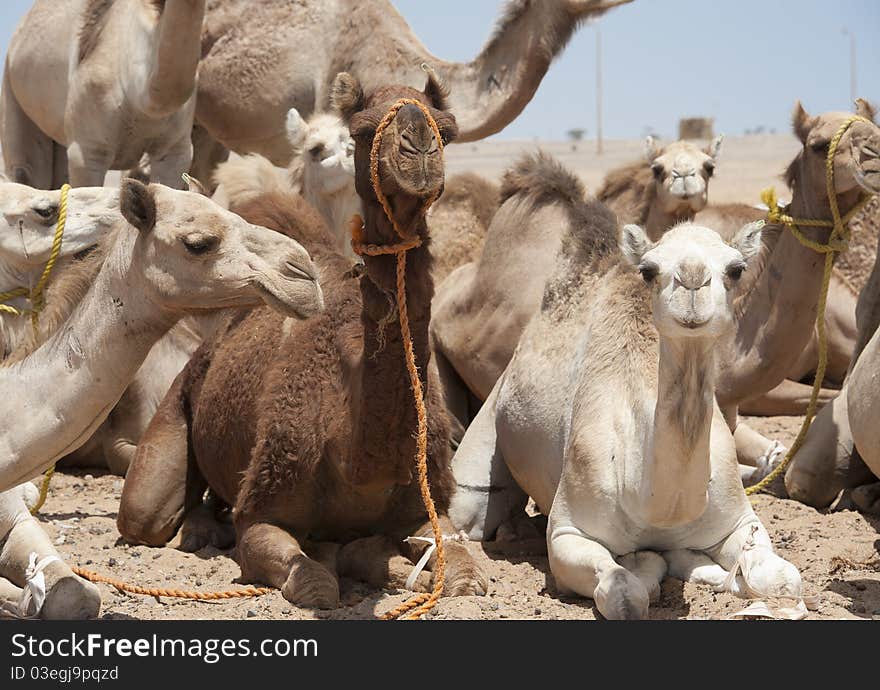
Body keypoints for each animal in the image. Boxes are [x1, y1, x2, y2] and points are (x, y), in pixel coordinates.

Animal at [115, 72, 488, 604]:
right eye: (363, 130)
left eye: (448, 127)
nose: (419, 145)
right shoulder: (263, 510)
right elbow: (314, 582)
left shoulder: (427, 507)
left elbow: (464, 573)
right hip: (172, 415)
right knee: (149, 514)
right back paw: (202, 529)